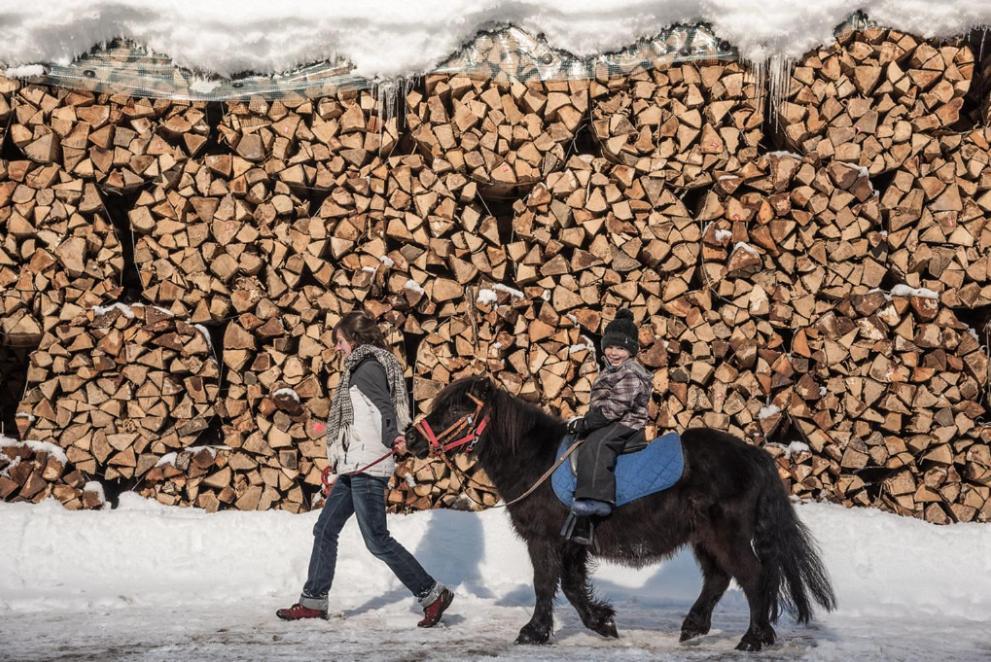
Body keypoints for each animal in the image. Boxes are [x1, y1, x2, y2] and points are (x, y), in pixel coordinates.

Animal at [410, 376, 836, 652]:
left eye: (454, 408)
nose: (411, 439)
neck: (535, 460)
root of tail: (755, 455)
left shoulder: (544, 539)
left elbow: (545, 584)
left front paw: (533, 632)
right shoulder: (571, 542)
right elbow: (572, 587)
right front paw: (603, 623)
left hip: (725, 535)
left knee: (753, 577)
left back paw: (752, 638)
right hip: (705, 538)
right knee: (718, 579)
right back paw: (695, 628)